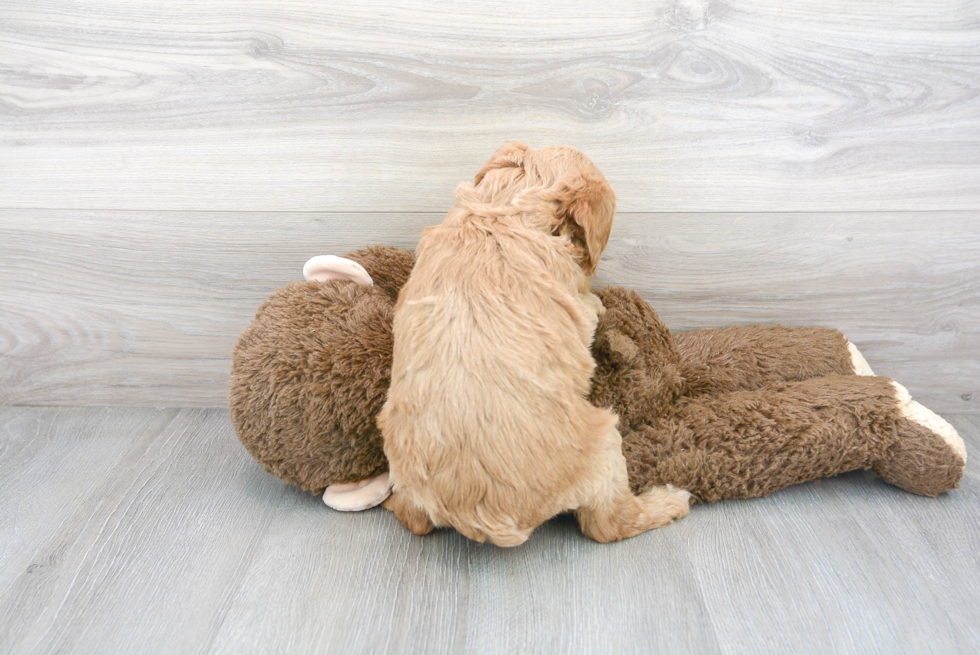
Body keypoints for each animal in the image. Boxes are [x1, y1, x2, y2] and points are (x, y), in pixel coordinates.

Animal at [376, 144, 688, 548]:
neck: (501, 212)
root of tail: (484, 521)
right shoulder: (579, 308)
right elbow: (590, 306)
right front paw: (599, 301)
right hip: (605, 441)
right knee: (607, 524)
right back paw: (668, 501)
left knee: (412, 518)